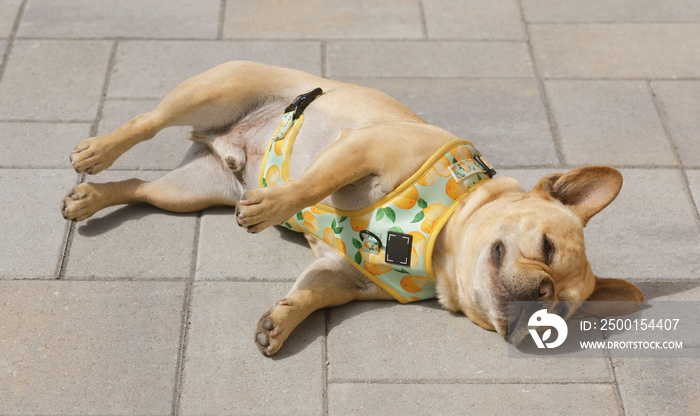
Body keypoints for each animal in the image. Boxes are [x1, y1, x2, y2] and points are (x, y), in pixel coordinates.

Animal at [63, 61, 644, 354]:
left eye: (562, 315)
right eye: (545, 249)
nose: (544, 299)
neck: (439, 240)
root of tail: (219, 142)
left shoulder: (343, 274)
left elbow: (311, 294)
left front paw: (280, 322)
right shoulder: (365, 150)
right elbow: (314, 183)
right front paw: (274, 205)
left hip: (190, 191)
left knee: (142, 189)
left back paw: (91, 196)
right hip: (216, 90)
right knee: (146, 121)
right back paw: (96, 151)